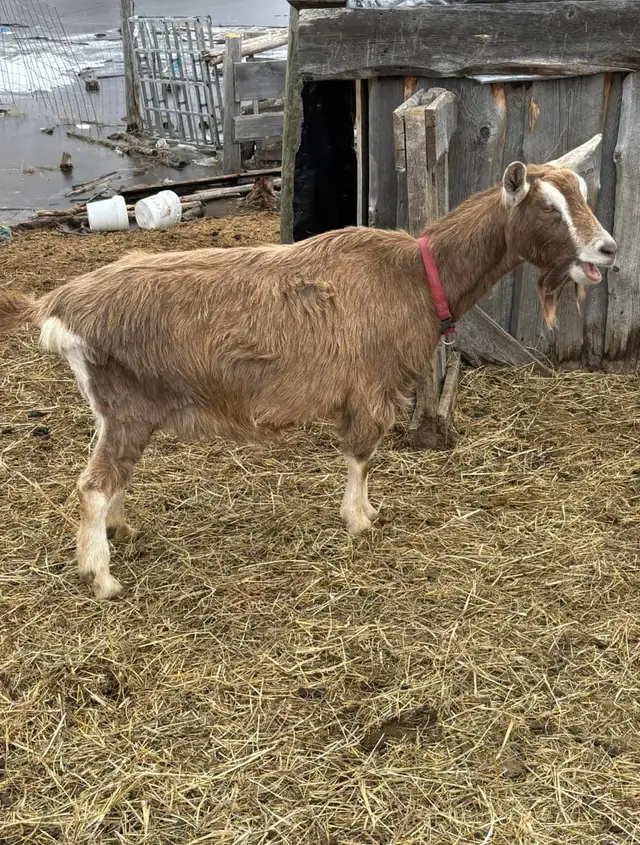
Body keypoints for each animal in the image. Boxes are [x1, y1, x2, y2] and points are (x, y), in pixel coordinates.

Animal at [0, 158, 617, 599]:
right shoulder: (370, 389)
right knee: (95, 484)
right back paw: (103, 578)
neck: (417, 276)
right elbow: (362, 456)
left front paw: (367, 513)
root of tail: (59, 303)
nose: (608, 249)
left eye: (582, 193)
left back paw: (121, 533)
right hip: (126, 404)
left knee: (115, 477)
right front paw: (359, 521)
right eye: (548, 208)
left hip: (124, 411)